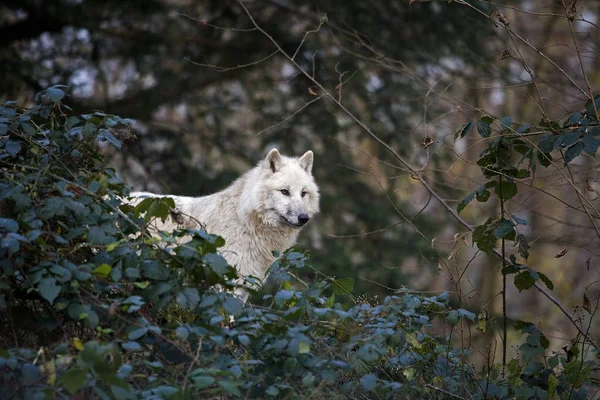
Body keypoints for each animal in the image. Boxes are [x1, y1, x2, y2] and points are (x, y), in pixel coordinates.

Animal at [129, 149, 322, 296]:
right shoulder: (225, 281)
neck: (245, 222)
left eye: (303, 193)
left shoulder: (246, 284)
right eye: (284, 192)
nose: (303, 218)